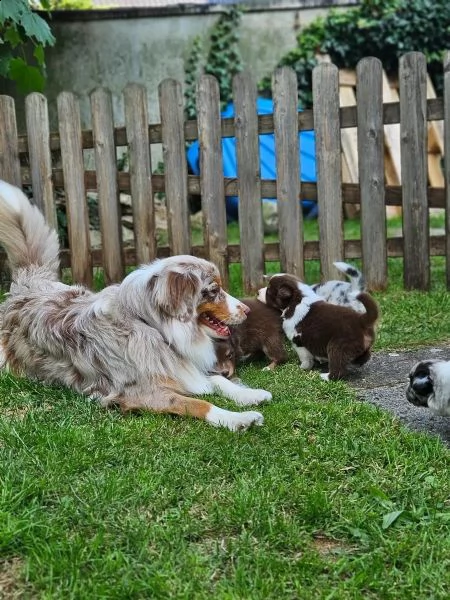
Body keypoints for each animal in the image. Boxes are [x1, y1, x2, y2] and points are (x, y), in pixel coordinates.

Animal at [0, 179, 270, 432]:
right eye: (214, 291)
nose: (247, 310)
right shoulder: (140, 392)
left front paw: (251, 394)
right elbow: (199, 404)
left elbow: (217, 381)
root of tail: (31, 281)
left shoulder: (181, 368)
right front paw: (237, 419)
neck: (156, 330)